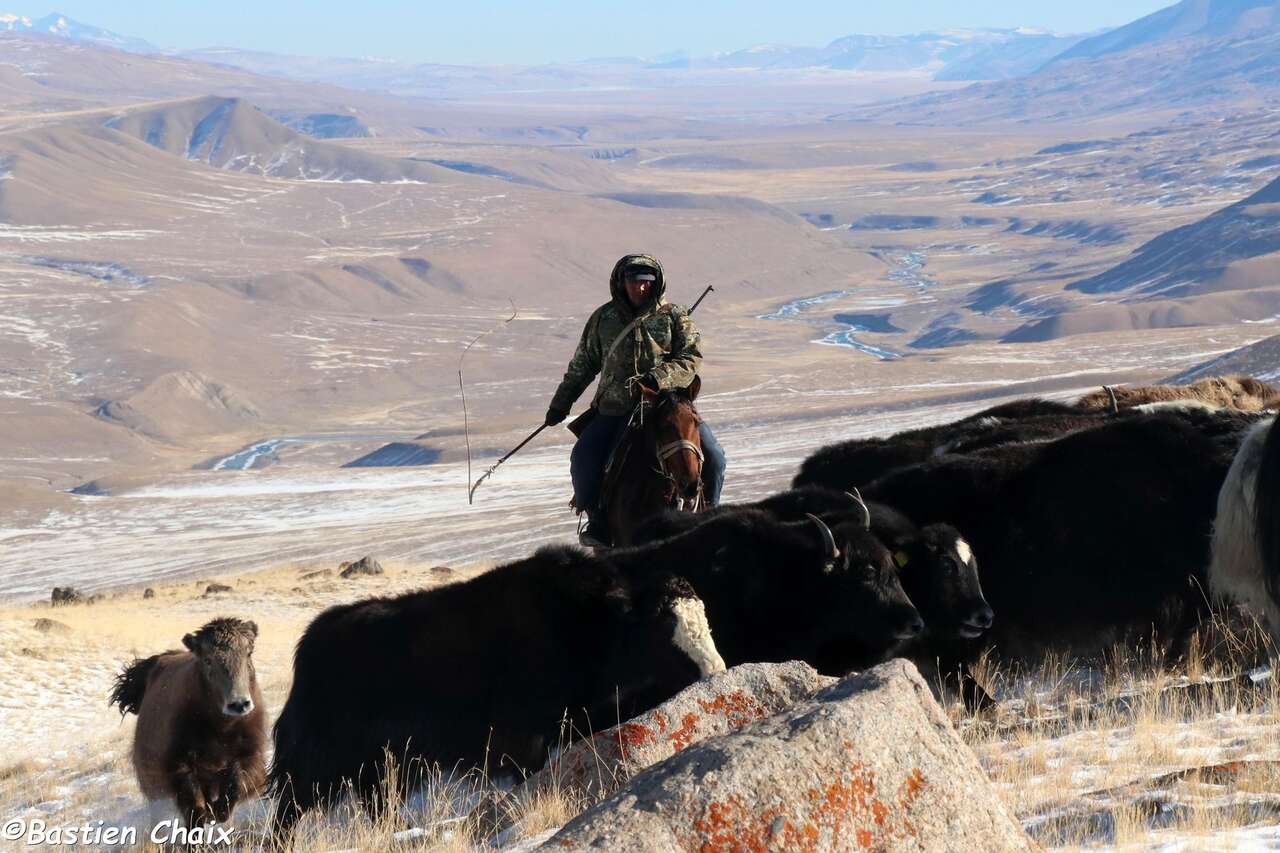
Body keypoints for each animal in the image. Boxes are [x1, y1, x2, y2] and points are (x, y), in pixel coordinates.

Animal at [110, 614, 267, 824]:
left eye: (248, 653)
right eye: (208, 660)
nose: (239, 704)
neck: (220, 727)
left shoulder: (251, 757)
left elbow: (236, 783)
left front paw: (220, 811)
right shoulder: (178, 767)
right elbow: (195, 804)